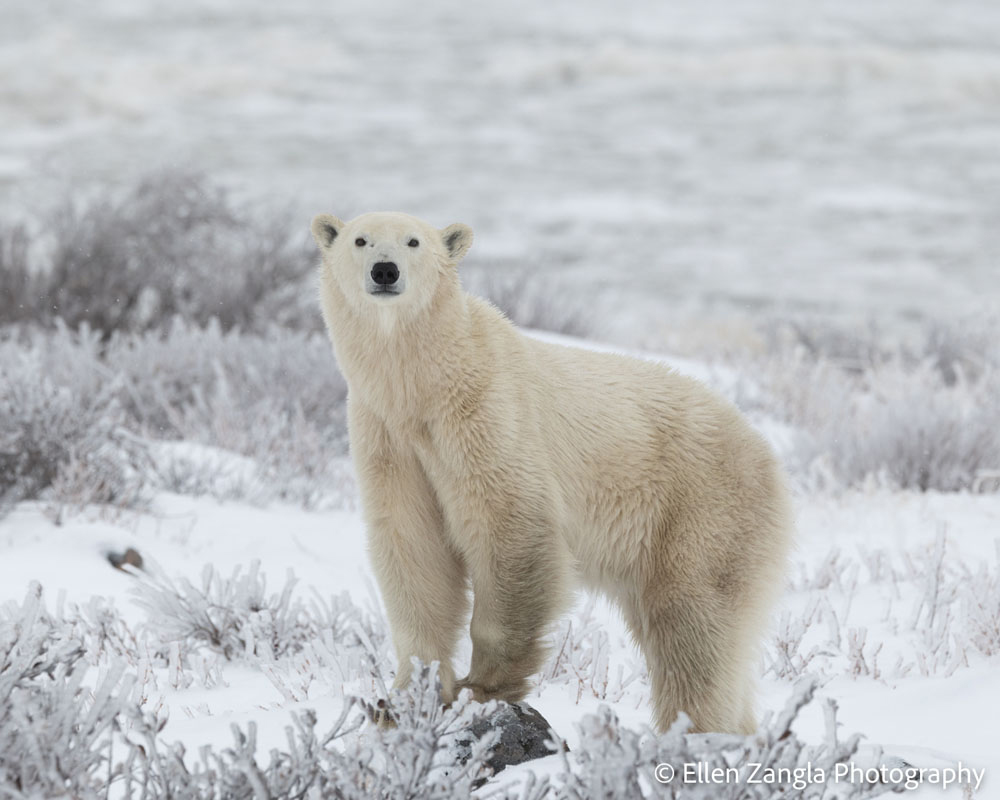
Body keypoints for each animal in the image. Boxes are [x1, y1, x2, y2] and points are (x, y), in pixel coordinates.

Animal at [308, 211, 792, 732]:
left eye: (413, 241)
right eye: (361, 240)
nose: (385, 270)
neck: (423, 388)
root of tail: (768, 456)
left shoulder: (485, 414)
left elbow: (508, 525)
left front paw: (481, 687)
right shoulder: (388, 438)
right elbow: (414, 547)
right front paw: (401, 698)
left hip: (703, 512)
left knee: (692, 628)